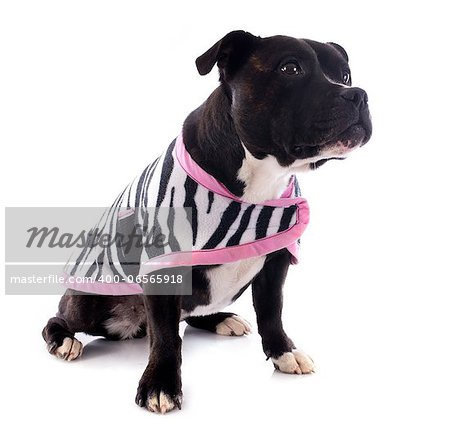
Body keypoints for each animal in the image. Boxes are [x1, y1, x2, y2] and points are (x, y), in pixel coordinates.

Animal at [42, 30, 372, 414]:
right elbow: (167, 338)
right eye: (290, 68)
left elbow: (271, 310)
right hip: (88, 300)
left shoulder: (275, 260)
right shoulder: (164, 266)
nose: (358, 93)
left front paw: (283, 352)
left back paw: (222, 319)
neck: (260, 181)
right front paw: (160, 385)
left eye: (345, 74)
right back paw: (63, 340)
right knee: (61, 318)